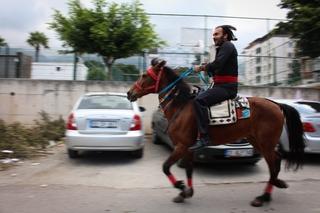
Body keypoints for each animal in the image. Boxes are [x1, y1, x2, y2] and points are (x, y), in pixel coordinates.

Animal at [127, 60, 304, 206]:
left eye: (144, 75)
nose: (129, 93)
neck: (181, 106)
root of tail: (276, 104)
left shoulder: (181, 146)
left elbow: (165, 167)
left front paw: (180, 186)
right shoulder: (187, 147)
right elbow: (189, 169)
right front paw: (186, 192)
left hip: (266, 143)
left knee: (273, 164)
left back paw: (263, 197)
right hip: (257, 141)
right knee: (276, 160)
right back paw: (275, 185)